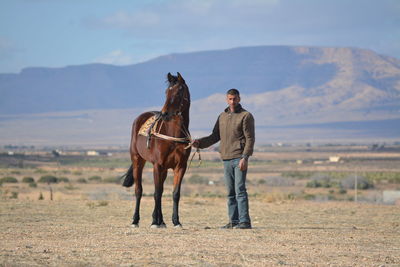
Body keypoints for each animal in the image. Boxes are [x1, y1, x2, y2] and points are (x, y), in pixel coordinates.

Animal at [121, 72, 191, 229]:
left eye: (179, 92)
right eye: (166, 92)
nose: (164, 113)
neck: (173, 134)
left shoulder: (180, 167)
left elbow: (175, 193)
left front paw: (176, 221)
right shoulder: (157, 165)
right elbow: (156, 193)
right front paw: (154, 222)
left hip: (163, 169)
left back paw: (162, 221)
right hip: (138, 160)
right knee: (139, 190)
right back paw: (136, 220)